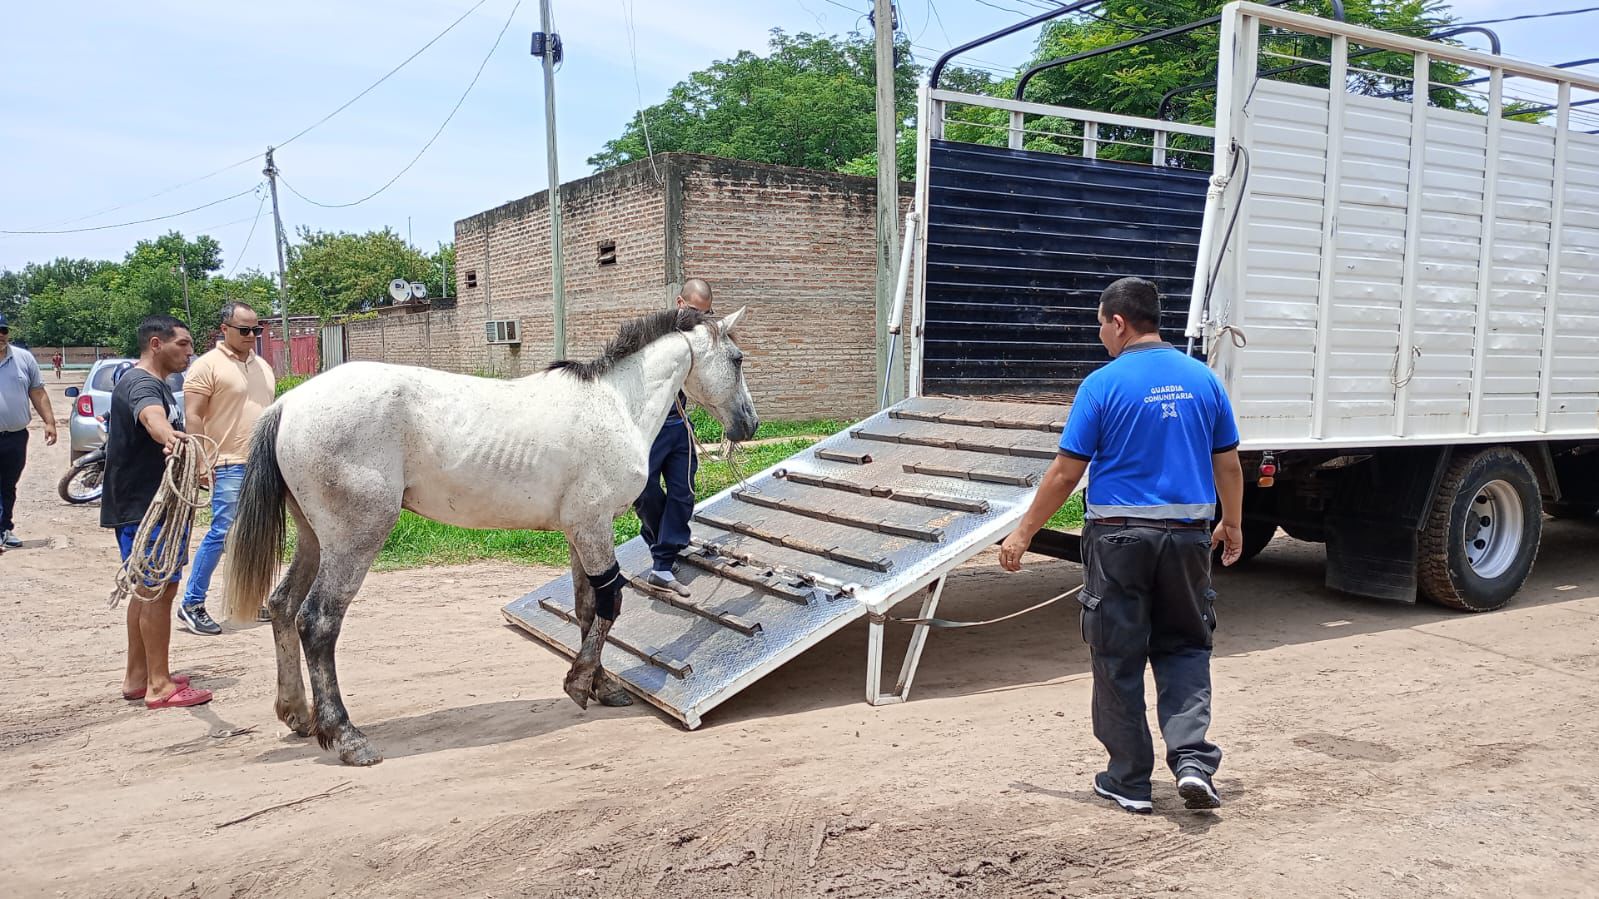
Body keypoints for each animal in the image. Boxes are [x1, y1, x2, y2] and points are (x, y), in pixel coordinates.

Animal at [220, 307, 761, 761]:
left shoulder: (579, 530)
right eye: (737, 359)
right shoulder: (593, 525)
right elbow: (611, 603)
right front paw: (579, 683)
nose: (750, 424)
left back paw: (296, 714)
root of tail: (288, 404)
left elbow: (587, 608)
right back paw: (346, 735)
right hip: (354, 540)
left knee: (282, 606)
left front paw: (601, 685)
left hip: (315, 538)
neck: (616, 404)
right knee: (317, 621)